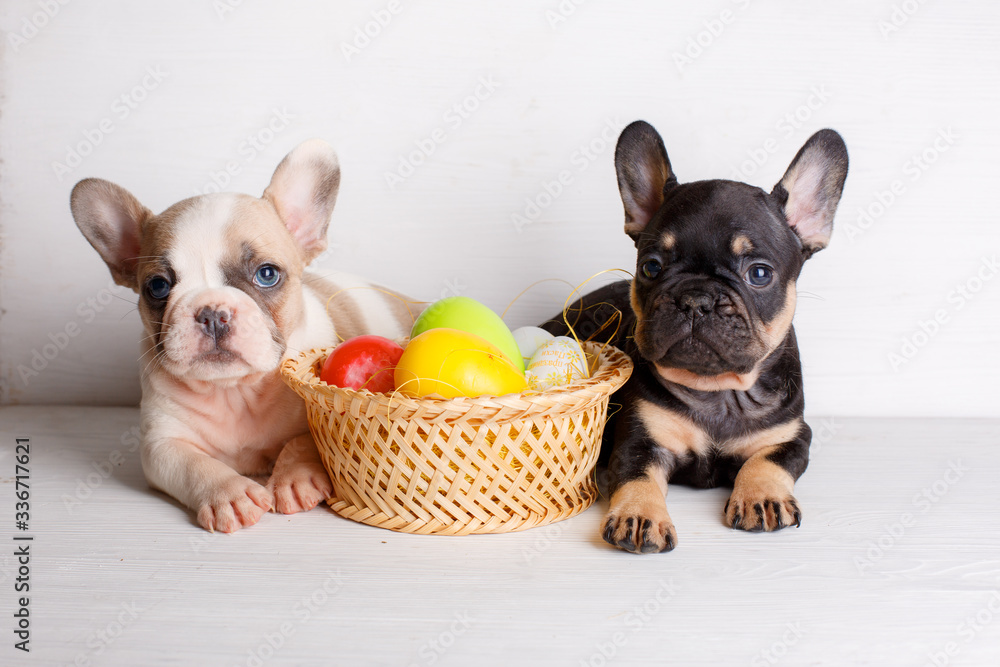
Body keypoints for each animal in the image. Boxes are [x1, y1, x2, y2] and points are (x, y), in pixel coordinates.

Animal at [71, 140, 414, 532]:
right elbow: (193, 464)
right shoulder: (161, 445)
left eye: (267, 274)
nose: (212, 313)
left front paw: (294, 478)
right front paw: (229, 494)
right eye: (157, 287)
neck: (234, 391)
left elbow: (305, 440)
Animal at [544, 120, 848, 552]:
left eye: (759, 273)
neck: (718, 391)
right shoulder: (639, 442)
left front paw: (762, 496)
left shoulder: (791, 436)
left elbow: (767, 461)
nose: (695, 299)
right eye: (651, 267)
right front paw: (640, 516)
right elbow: (637, 477)